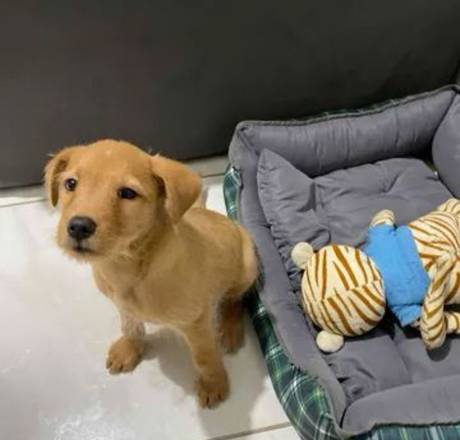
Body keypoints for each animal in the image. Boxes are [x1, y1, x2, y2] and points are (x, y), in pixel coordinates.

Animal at [44, 139, 258, 408]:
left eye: (127, 193)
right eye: (71, 183)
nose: (79, 227)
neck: (129, 267)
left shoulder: (197, 322)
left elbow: (205, 356)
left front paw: (213, 383)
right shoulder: (122, 306)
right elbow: (130, 327)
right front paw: (129, 349)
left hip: (247, 267)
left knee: (234, 300)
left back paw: (229, 329)